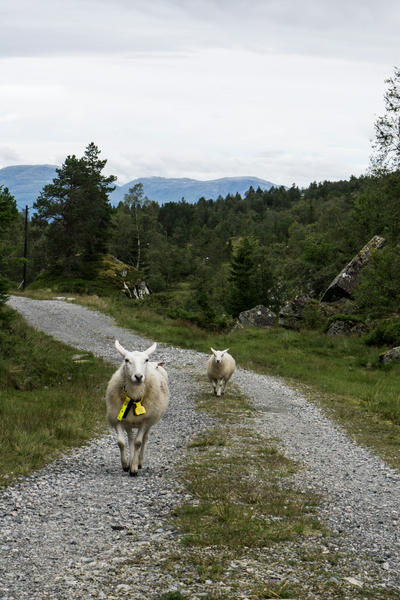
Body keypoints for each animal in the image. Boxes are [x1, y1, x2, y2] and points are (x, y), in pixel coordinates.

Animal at [104, 340, 169, 476]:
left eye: (146, 360)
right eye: (126, 360)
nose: (138, 376)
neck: (134, 395)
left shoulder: (145, 421)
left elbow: (138, 443)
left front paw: (133, 468)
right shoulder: (117, 418)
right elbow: (121, 442)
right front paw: (125, 465)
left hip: (150, 421)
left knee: (144, 439)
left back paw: (139, 462)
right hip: (129, 421)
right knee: (130, 439)